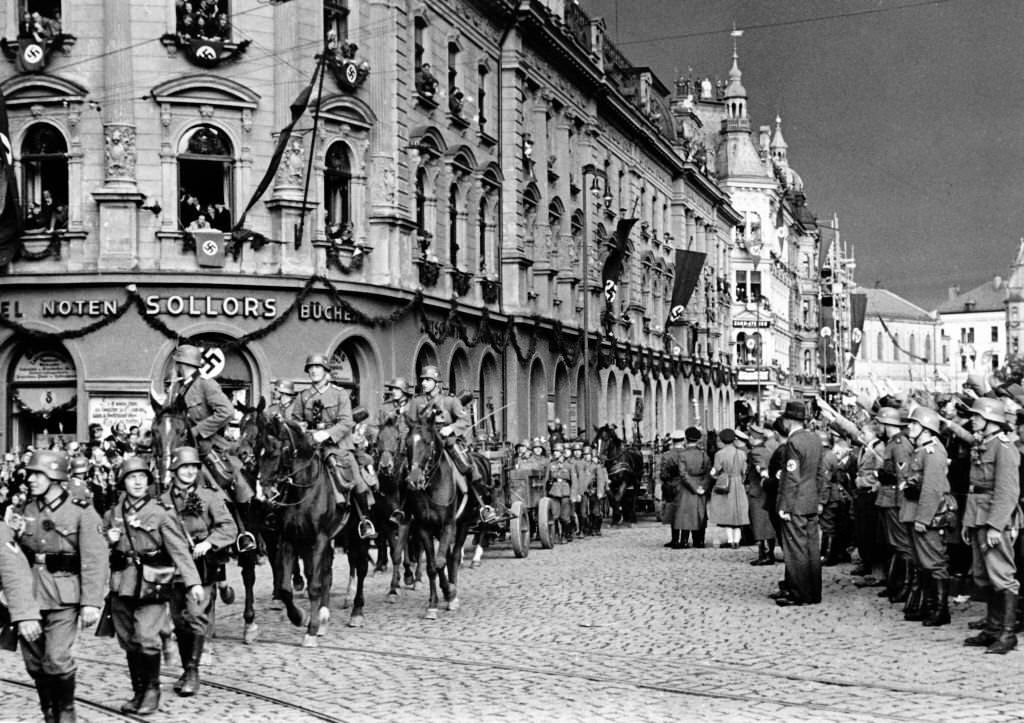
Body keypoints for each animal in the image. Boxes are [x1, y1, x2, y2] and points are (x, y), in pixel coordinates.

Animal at [256, 413, 372, 639]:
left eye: (276, 452)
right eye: (259, 452)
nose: (264, 495)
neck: (305, 492)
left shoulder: (320, 539)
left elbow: (315, 584)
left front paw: (310, 630)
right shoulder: (289, 539)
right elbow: (286, 588)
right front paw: (300, 617)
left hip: (356, 537)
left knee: (361, 569)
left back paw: (356, 612)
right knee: (327, 572)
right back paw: (324, 617)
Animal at [401, 413, 485, 618]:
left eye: (427, 442)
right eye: (407, 443)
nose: (413, 480)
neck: (432, 486)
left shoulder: (449, 525)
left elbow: (441, 562)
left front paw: (450, 592)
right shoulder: (424, 528)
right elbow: (432, 566)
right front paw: (433, 603)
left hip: (462, 525)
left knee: (453, 556)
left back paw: (453, 595)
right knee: (446, 556)